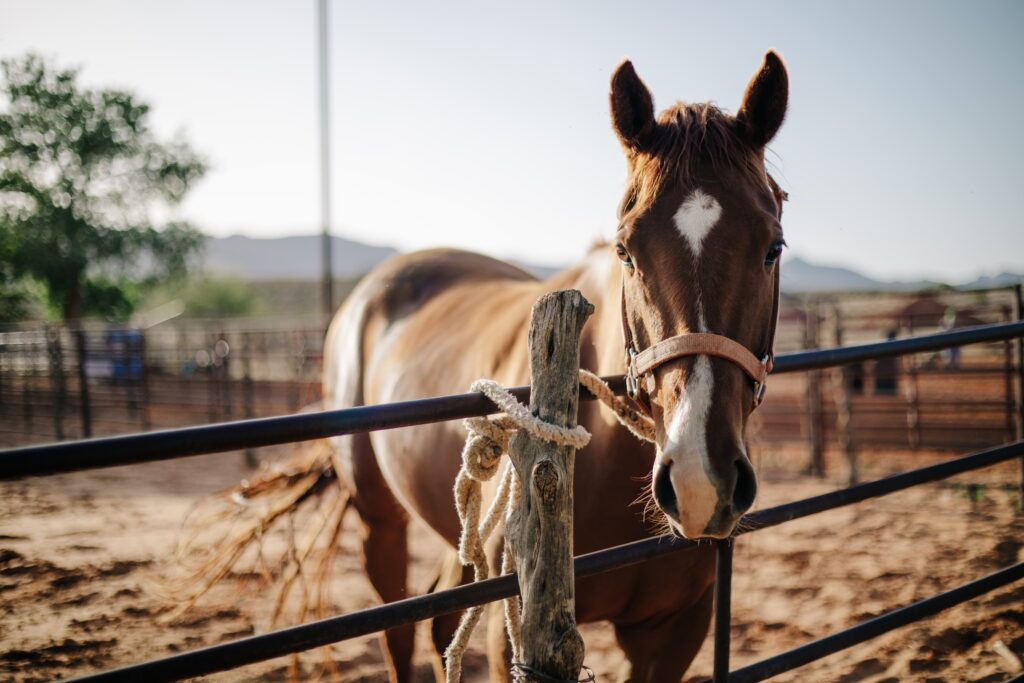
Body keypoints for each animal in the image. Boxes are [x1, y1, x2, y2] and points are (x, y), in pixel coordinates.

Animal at [323, 50, 786, 679]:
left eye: (773, 248)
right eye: (625, 250)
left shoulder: (675, 632)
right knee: (399, 631)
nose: (700, 480)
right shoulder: (511, 633)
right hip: (379, 522)